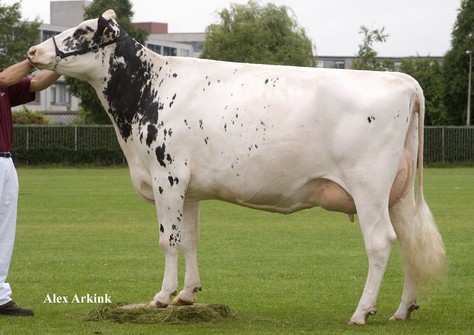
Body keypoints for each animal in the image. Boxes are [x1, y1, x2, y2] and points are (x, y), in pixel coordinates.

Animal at [27, 10, 446, 326]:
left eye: (83, 31)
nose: (32, 50)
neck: (149, 91)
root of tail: (403, 80)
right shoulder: (188, 188)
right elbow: (190, 239)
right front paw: (187, 295)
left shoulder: (167, 177)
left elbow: (168, 240)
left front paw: (161, 297)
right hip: (398, 193)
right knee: (409, 240)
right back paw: (402, 310)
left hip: (369, 187)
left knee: (381, 242)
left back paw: (362, 312)